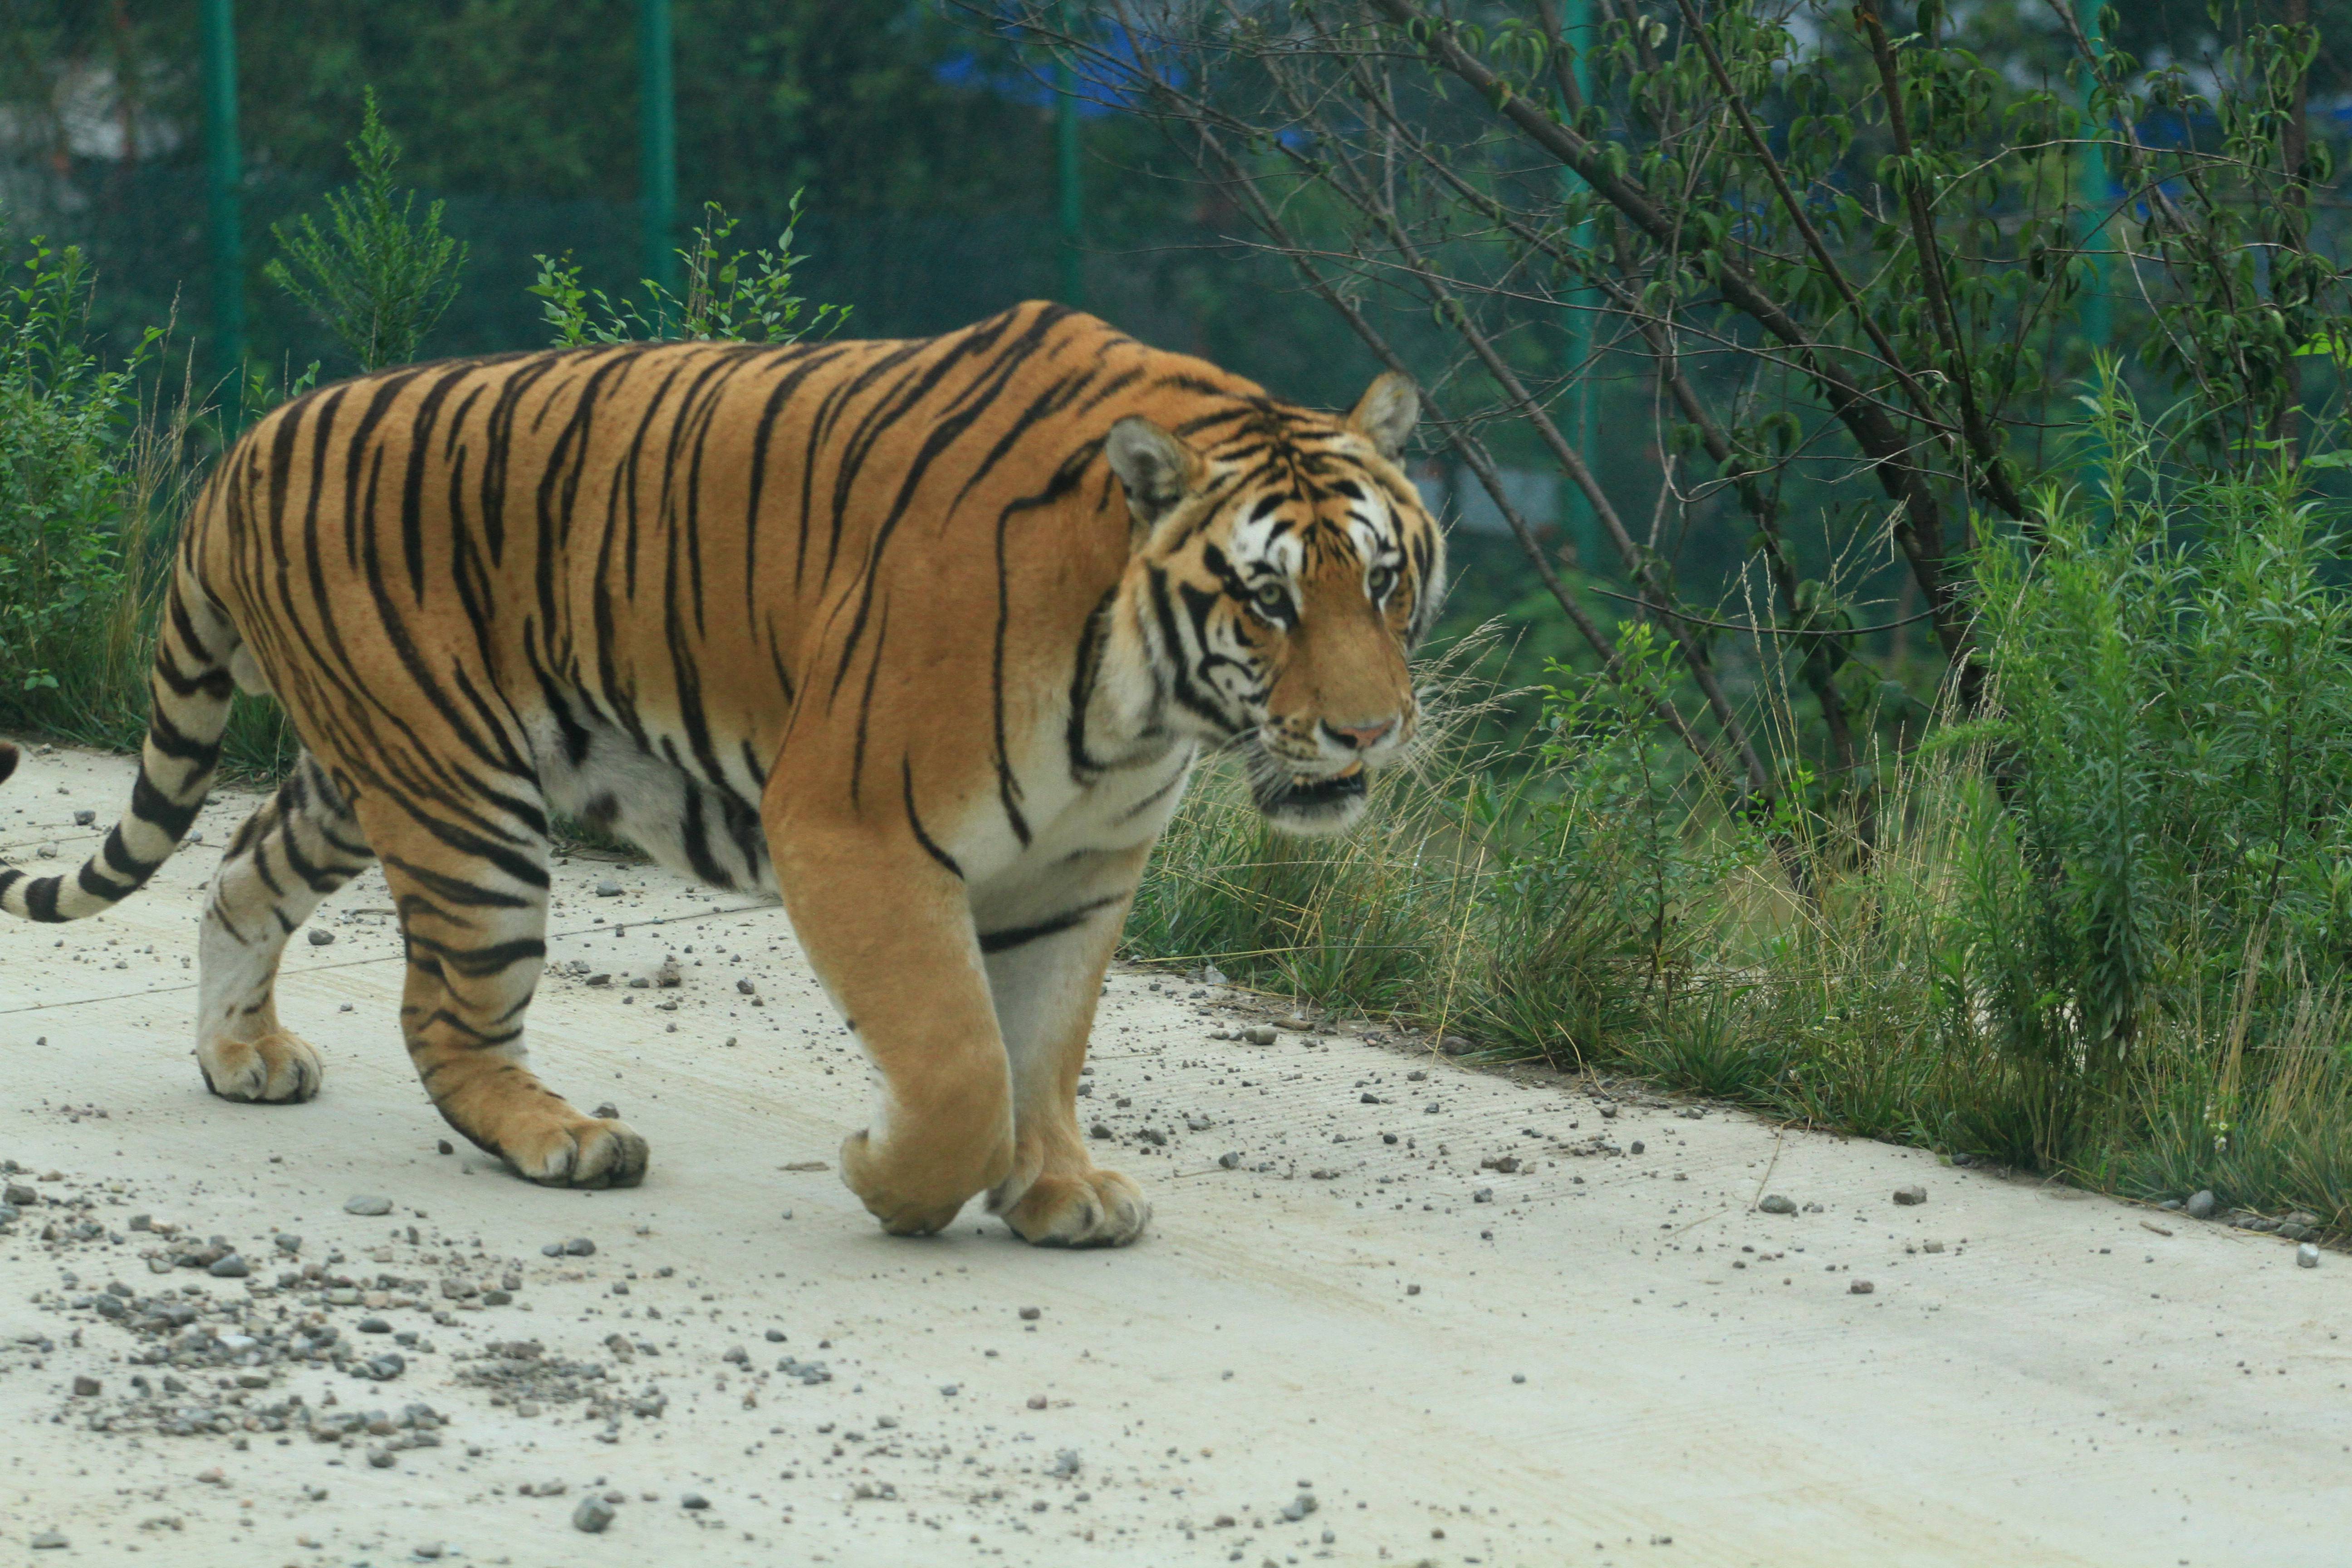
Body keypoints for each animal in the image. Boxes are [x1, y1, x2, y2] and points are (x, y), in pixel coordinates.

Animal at [0, 301, 1439, 1241]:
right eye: (1265, 600)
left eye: (1381, 581)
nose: (1369, 734)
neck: (1141, 702)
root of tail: (242, 452)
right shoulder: (851, 827)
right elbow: (960, 1062)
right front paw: (888, 1176)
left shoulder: (1083, 865)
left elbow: (1042, 1046)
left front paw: (1056, 1191)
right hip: (463, 802)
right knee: (447, 1013)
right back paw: (564, 1139)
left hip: (372, 771)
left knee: (239, 877)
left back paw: (242, 1056)